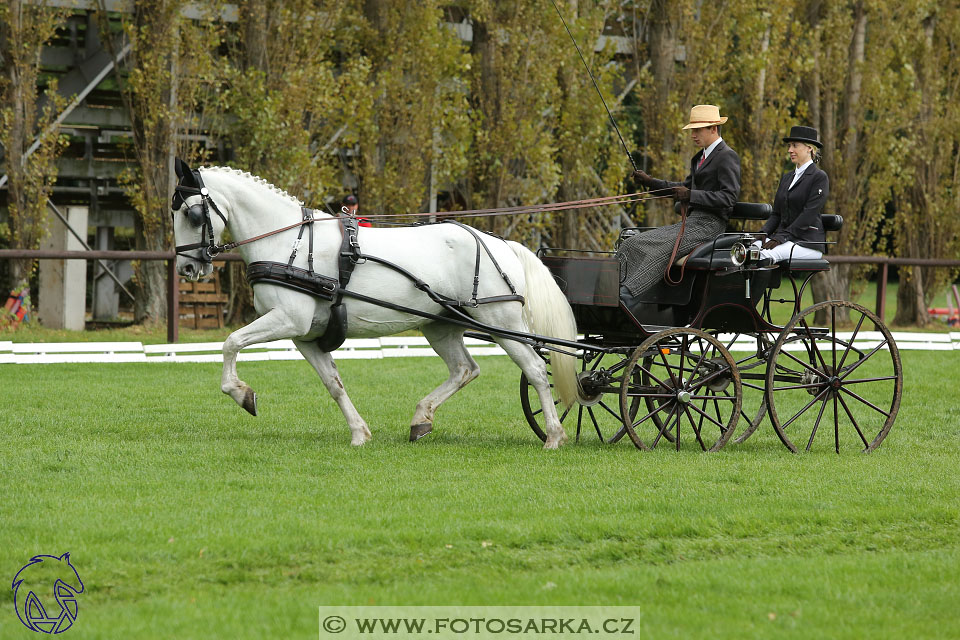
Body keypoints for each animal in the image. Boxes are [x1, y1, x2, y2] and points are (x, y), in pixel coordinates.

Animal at [170, 162, 580, 448]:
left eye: (191, 213)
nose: (186, 267)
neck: (288, 241)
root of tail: (499, 242)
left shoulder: (287, 319)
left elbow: (231, 343)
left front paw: (242, 394)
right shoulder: (305, 336)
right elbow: (333, 384)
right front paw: (359, 433)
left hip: (501, 320)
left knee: (534, 369)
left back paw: (554, 436)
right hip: (440, 326)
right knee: (466, 369)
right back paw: (421, 419)